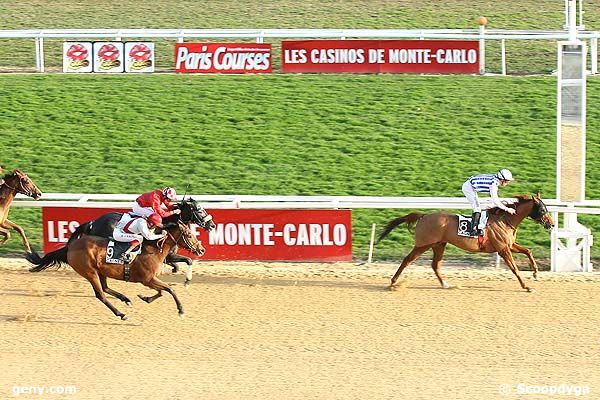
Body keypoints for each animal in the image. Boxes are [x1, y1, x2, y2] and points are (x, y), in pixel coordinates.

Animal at [27, 220, 205, 320]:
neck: (153, 249)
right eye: (190, 235)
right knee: (101, 294)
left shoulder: (149, 280)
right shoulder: (147, 279)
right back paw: (121, 314)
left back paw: (126, 299)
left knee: (105, 288)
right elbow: (169, 289)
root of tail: (70, 247)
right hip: (89, 272)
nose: (201, 249)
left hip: (100, 271)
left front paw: (145, 298)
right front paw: (181, 310)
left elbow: (162, 291)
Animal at [67, 197, 216, 284]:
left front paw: (175, 270)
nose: (212, 225)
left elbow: (183, 262)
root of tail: (93, 222)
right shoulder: (168, 254)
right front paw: (185, 278)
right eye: (199, 210)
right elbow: (188, 260)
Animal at [378, 195, 556, 292]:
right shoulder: (503, 249)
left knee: (435, 265)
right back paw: (393, 282)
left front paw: (535, 273)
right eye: (542, 209)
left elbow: (528, 251)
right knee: (407, 260)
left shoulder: (509, 245)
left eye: (546, 208)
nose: (552, 224)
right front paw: (526, 286)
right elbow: (514, 269)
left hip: (439, 245)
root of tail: (424, 216)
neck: (505, 220)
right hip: (423, 244)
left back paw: (445, 284)